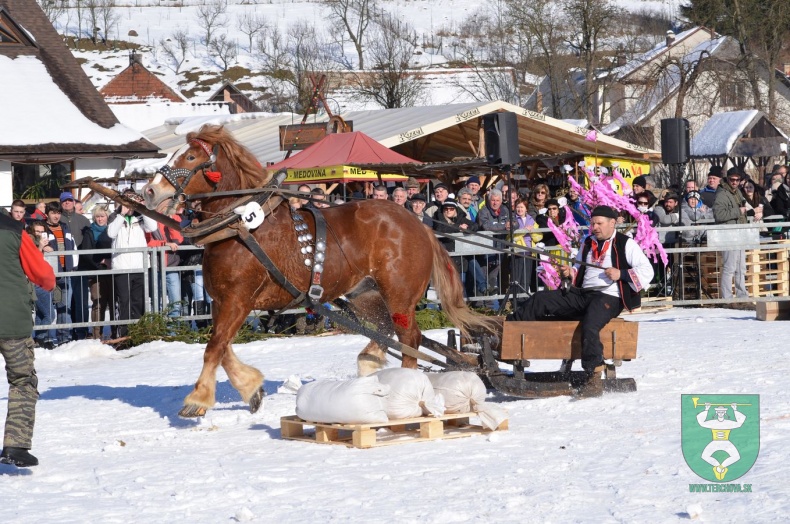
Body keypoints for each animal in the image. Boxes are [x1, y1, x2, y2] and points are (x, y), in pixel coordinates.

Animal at [139, 125, 492, 416]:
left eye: (191, 155)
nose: (149, 192)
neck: (240, 227)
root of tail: (419, 225)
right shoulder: (221, 302)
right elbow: (221, 348)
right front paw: (251, 389)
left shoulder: (238, 300)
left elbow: (214, 348)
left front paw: (197, 399)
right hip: (366, 294)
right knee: (385, 331)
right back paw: (369, 367)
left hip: (399, 295)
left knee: (410, 338)